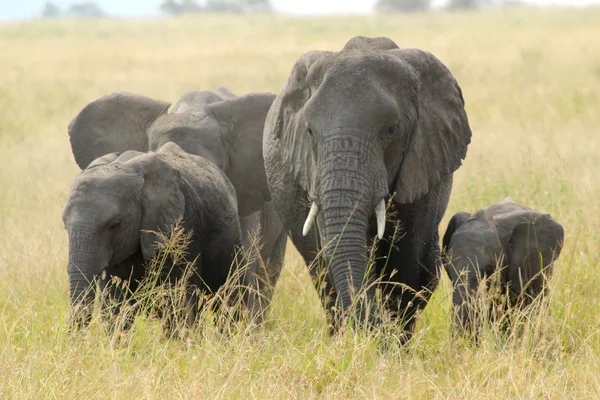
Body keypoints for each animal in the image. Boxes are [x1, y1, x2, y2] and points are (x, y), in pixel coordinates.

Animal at [62, 142, 241, 336]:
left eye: (114, 225)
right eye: (65, 225)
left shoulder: (184, 225)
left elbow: (178, 300)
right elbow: (115, 306)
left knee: (225, 299)